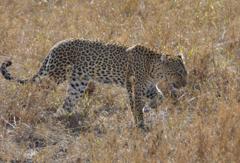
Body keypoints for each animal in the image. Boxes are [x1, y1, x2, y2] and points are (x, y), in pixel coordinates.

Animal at [0, 38, 188, 129]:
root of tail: (56, 45)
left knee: (68, 102)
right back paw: (32, 106)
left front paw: (150, 107)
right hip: (55, 74)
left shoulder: (148, 87)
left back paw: (61, 116)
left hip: (78, 83)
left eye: (185, 73)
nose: (185, 84)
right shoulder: (134, 86)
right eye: (178, 73)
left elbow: (160, 97)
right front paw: (140, 123)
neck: (154, 69)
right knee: (36, 89)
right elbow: (136, 104)